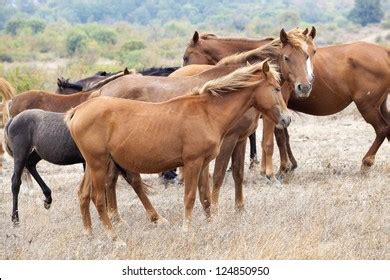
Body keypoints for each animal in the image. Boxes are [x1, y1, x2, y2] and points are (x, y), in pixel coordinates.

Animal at [65, 61, 288, 238]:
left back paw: (89, 234)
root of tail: (79, 109)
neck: (207, 112)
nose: (287, 119)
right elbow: (190, 197)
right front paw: (186, 229)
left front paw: (211, 225)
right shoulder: (192, 162)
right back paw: (115, 237)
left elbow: (205, 197)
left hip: (94, 164)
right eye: (276, 88)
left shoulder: (203, 163)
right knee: (99, 198)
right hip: (98, 164)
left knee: (84, 194)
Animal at [183, 32, 390, 173]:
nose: (184, 74)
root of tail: (385, 51)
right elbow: (285, 136)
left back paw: (367, 161)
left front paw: (283, 167)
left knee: (382, 129)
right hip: (380, 105)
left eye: (186, 56)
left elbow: (278, 135)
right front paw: (291, 164)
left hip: (367, 106)